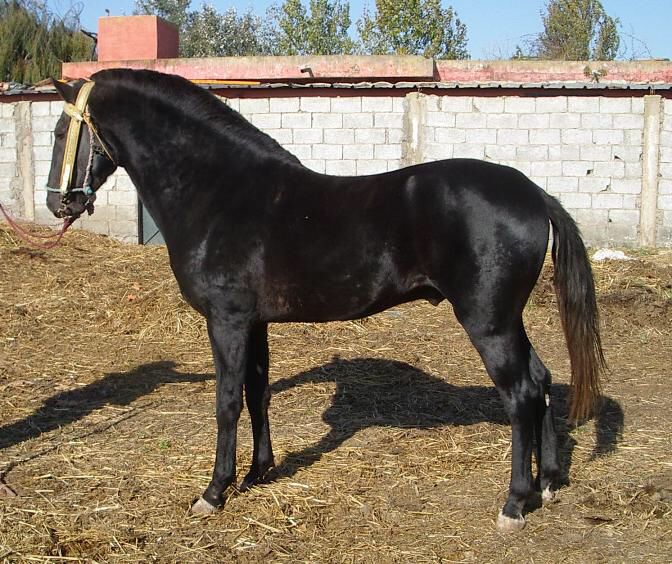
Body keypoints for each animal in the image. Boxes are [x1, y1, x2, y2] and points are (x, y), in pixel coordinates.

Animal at [45, 68, 605, 531]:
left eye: (59, 133)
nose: (57, 203)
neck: (220, 192)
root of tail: (534, 194)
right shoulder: (255, 323)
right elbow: (257, 393)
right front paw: (259, 473)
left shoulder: (227, 321)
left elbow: (227, 402)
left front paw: (214, 492)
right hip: (508, 320)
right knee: (541, 380)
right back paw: (548, 483)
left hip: (488, 323)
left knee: (520, 395)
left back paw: (514, 502)